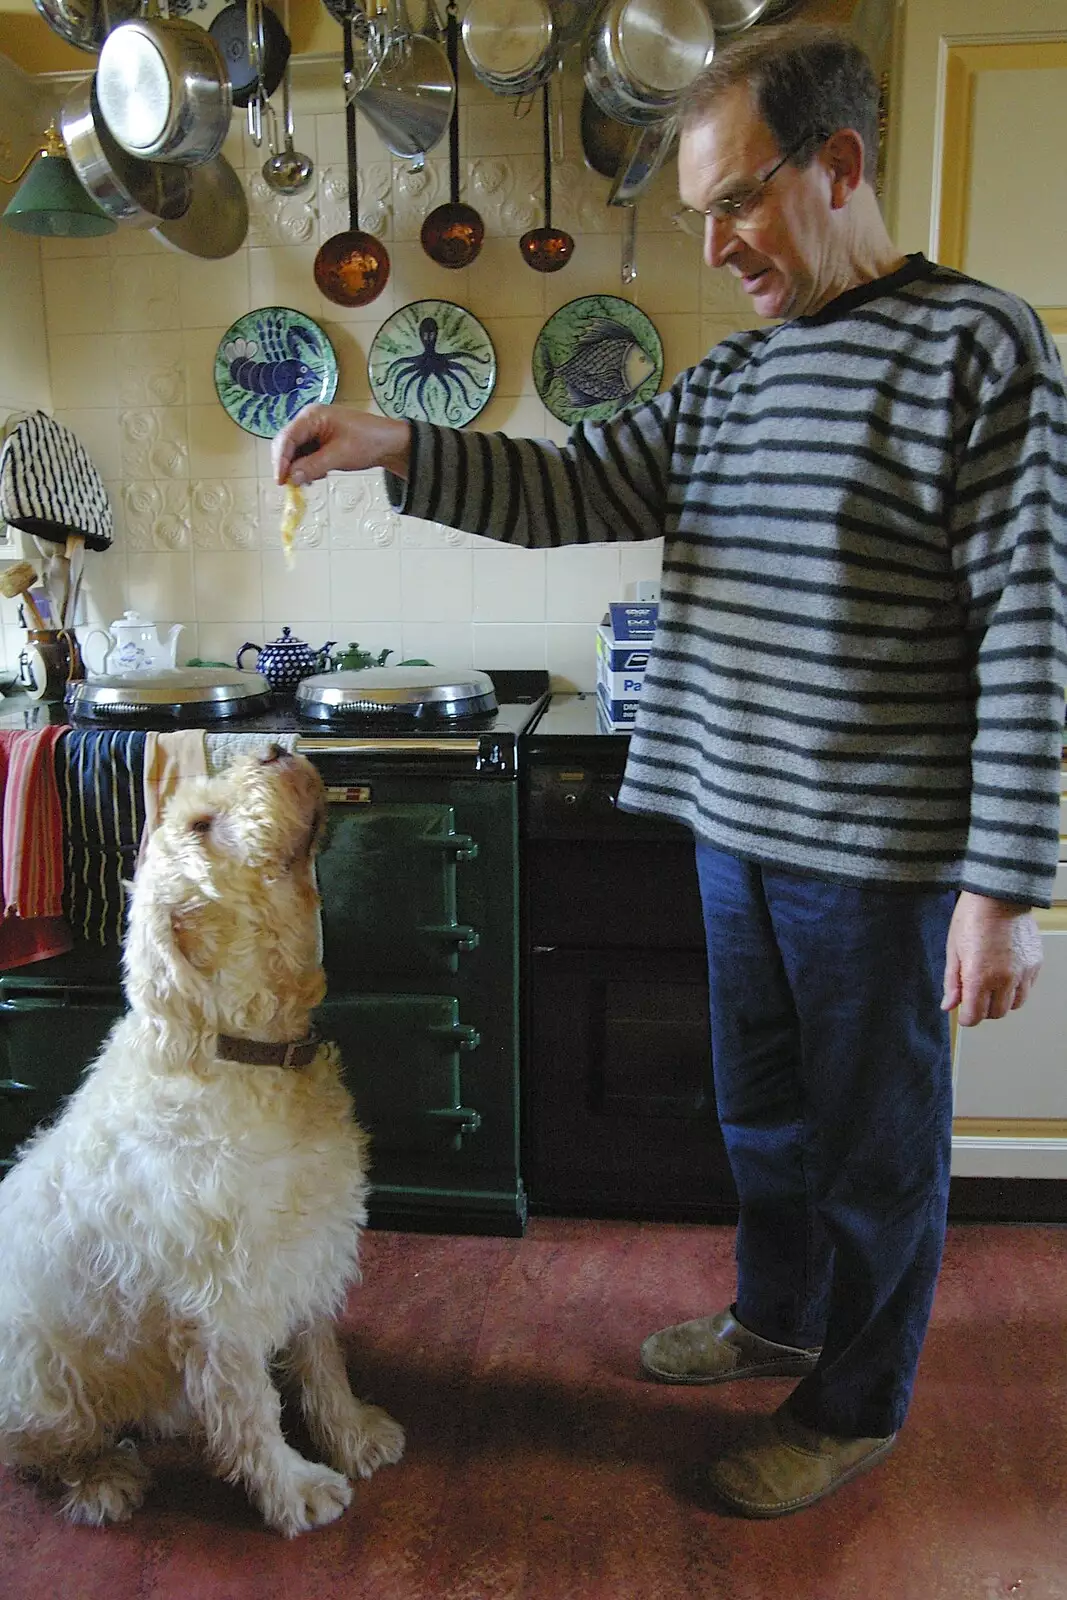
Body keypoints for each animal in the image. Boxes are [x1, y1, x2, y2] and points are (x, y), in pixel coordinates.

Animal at [0, 748, 404, 1536]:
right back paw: (106, 1481)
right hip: (39, 1380)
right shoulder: (221, 1306)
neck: (247, 1052)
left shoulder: (308, 1254)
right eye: (198, 824)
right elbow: (252, 1409)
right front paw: (295, 1489)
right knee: (46, 1452)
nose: (275, 749)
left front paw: (353, 1436)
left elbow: (321, 1361)